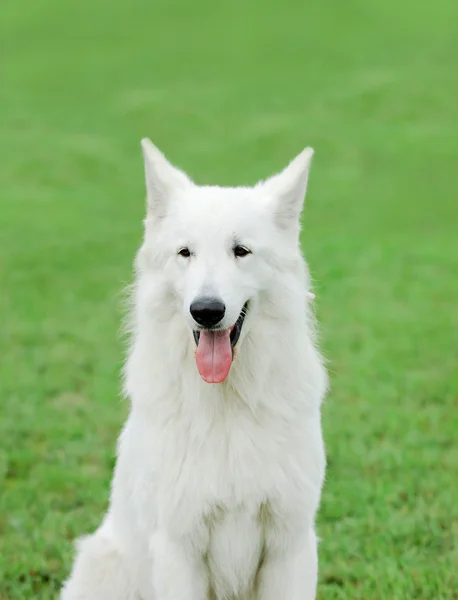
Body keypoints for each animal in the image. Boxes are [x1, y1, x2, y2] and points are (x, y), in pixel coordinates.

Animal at [60, 139, 328, 600]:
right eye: (186, 253)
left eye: (241, 251)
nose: (206, 311)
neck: (228, 405)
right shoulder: (177, 548)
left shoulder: (290, 545)